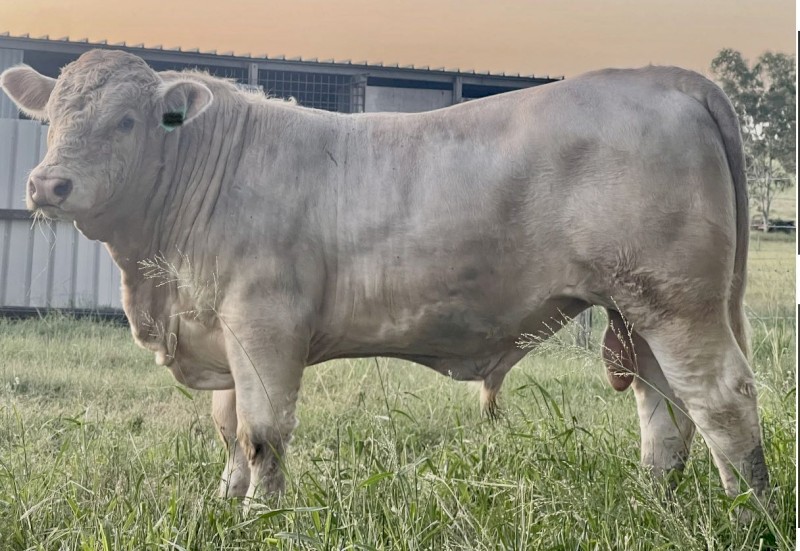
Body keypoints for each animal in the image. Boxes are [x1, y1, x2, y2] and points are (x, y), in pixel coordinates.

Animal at [1, 49, 769, 512]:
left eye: (128, 120)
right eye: (50, 118)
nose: (47, 184)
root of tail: (667, 76)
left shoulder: (263, 322)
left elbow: (261, 430)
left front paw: (260, 512)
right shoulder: (220, 327)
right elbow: (227, 427)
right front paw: (224, 500)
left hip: (679, 302)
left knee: (721, 397)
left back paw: (747, 510)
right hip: (638, 309)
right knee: (664, 408)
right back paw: (658, 499)